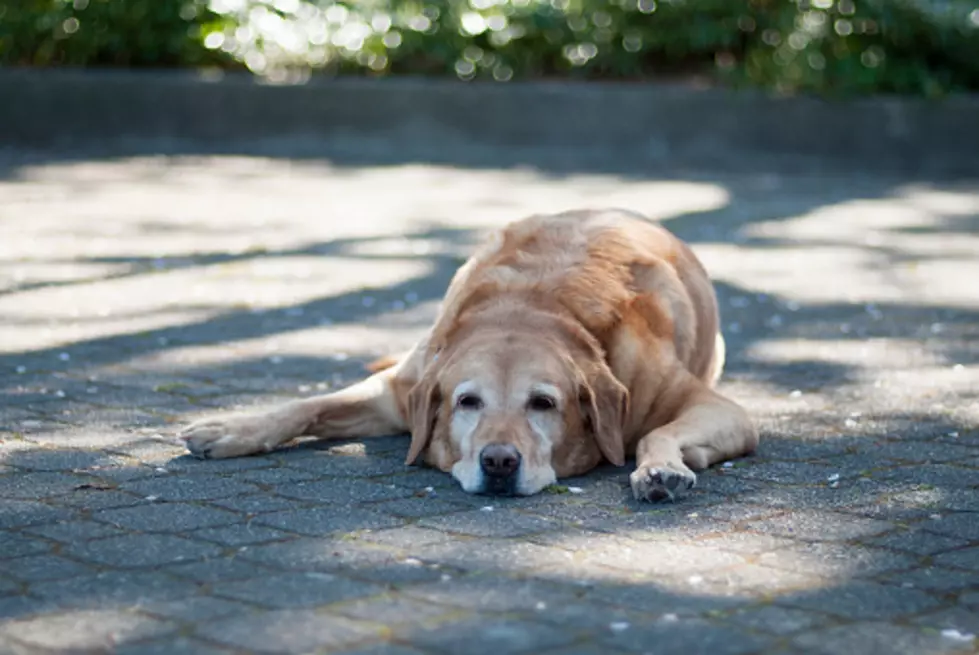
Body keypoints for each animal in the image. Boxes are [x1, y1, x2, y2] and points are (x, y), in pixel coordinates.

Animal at [180, 210, 760, 502]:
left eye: (543, 404)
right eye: (467, 402)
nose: (499, 462)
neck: (530, 307)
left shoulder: (721, 409)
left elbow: (655, 434)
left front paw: (660, 468)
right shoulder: (399, 391)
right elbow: (308, 405)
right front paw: (233, 427)